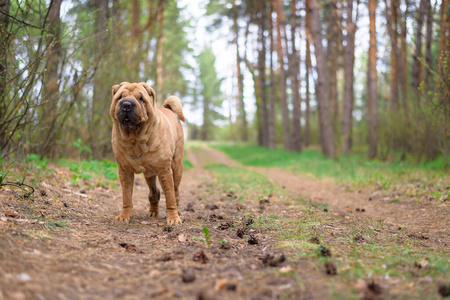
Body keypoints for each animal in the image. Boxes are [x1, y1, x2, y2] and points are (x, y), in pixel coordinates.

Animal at [109, 82, 185, 225]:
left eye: (141, 98)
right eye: (120, 97)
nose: (126, 104)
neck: (135, 140)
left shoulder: (165, 171)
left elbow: (170, 197)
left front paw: (173, 218)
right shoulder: (124, 171)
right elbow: (126, 197)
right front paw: (124, 216)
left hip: (176, 167)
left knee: (176, 192)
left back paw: (177, 210)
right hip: (149, 174)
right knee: (154, 193)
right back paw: (153, 212)